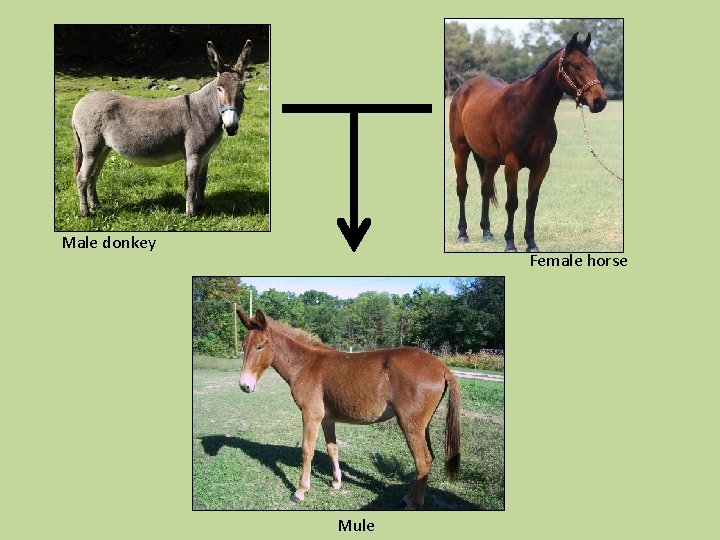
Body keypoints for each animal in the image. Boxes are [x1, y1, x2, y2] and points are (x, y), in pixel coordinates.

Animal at [71, 39, 252, 217]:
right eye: (219, 89)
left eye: (242, 88)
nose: (231, 127)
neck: (203, 111)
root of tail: (79, 104)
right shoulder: (193, 154)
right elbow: (191, 184)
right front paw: (191, 213)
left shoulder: (206, 155)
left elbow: (202, 182)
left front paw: (202, 206)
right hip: (91, 149)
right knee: (82, 177)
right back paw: (85, 212)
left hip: (104, 149)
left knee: (93, 176)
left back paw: (96, 205)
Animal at [236, 308, 461, 510]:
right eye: (244, 345)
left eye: (260, 346)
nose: (244, 385)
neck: (306, 365)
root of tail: (441, 367)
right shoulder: (326, 419)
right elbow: (332, 448)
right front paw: (336, 482)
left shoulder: (310, 416)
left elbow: (307, 451)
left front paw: (300, 491)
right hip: (423, 426)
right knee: (429, 458)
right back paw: (411, 498)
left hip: (410, 425)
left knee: (422, 461)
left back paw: (413, 504)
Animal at [449, 32, 607, 252]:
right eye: (576, 65)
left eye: (593, 64)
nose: (600, 101)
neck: (529, 110)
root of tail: (464, 87)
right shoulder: (511, 163)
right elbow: (512, 203)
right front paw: (510, 242)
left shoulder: (542, 164)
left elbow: (531, 202)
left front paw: (531, 242)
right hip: (460, 151)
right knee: (462, 188)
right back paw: (463, 233)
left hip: (490, 160)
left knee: (485, 189)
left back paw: (487, 232)